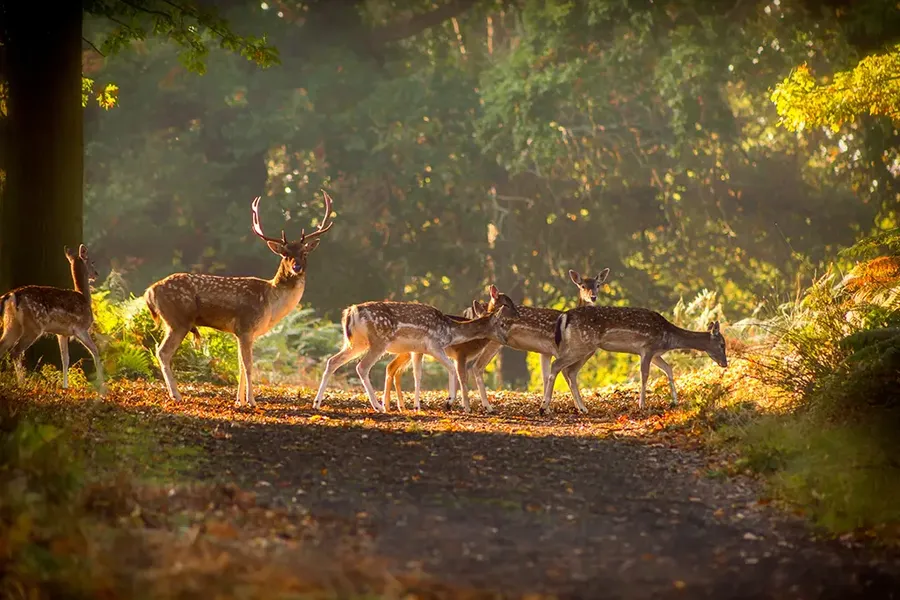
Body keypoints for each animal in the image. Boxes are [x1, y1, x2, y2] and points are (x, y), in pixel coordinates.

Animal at [0, 244, 106, 393]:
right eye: (91, 262)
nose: (96, 274)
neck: (85, 298)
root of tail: (12, 296)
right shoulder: (80, 329)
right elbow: (94, 350)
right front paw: (102, 384)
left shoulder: (62, 333)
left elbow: (65, 359)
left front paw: (65, 386)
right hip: (33, 326)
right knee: (15, 351)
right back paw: (22, 384)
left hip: (11, 324)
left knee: (2, 346)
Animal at [144, 191, 334, 408]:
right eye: (285, 254)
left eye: (304, 253)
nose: (297, 267)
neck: (271, 303)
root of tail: (150, 291)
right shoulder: (245, 327)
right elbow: (249, 365)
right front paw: (252, 401)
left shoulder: (240, 333)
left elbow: (241, 366)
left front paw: (239, 400)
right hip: (178, 320)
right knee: (163, 352)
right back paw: (176, 394)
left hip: (174, 322)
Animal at [311, 285, 519, 413]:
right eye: (501, 323)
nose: (506, 339)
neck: (450, 331)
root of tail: (350, 312)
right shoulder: (435, 345)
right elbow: (452, 369)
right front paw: (449, 401)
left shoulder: (419, 350)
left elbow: (417, 375)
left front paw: (418, 406)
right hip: (379, 341)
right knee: (362, 367)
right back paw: (378, 406)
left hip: (356, 343)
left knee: (332, 361)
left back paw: (317, 403)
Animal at [542, 306, 728, 415]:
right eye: (722, 344)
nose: (725, 364)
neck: (669, 338)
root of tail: (564, 316)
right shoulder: (647, 348)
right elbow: (644, 375)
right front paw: (642, 405)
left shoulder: (655, 354)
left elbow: (668, 369)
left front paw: (675, 401)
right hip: (582, 344)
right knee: (557, 365)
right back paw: (544, 407)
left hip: (586, 348)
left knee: (570, 371)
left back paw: (582, 408)